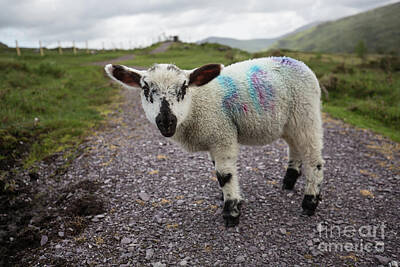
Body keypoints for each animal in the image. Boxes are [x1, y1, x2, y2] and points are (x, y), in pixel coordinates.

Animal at [104, 57, 324, 228]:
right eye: (145, 88)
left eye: (184, 87)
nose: (166, 121)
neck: (196, 105)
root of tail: (299, 62)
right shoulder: (213, 137)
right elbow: (218, 172)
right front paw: (231, 199)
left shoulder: (221, 134)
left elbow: (224, 175)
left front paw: (231, 213)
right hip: (289, 123)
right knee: (295, 148)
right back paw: (289, 181)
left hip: (306, 114)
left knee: (314, 159)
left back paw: (309, 203)